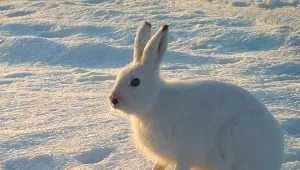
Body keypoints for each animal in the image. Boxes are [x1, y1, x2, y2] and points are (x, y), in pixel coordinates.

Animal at [110, 21, 284, 169]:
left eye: (135, 82)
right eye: (119, 75)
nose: (113, 100)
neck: (155, 102)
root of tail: (276, 156)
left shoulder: (184, 154)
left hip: (236, 134)